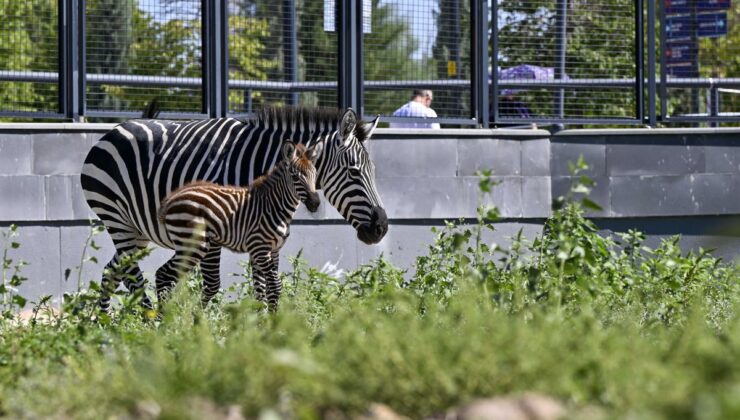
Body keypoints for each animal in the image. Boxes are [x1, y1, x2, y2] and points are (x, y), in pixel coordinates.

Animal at [158, 141, 321, 308]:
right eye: (295, 176)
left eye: (315, 175)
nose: (315, 204)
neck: (274, 206)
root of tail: (172, 197)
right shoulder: (260, 248)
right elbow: (275, 286)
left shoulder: (273, 250)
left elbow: (265, 290)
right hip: (193, 245)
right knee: (165, 274)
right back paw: (163, 314)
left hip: (189, 244)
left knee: (162, 273)